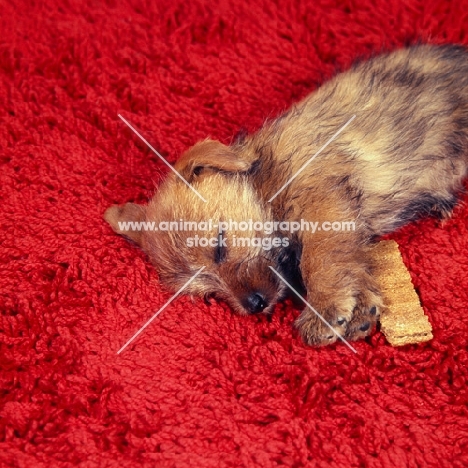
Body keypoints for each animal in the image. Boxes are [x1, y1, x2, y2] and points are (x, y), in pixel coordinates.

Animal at [106, 44, 468, 346]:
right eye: (208, 293)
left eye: (219, 245)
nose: (254, 305)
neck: (266, 182)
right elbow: (349, 262)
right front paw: (360, 309)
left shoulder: (323, 206)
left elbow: (320, 258)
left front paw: (325, 306)